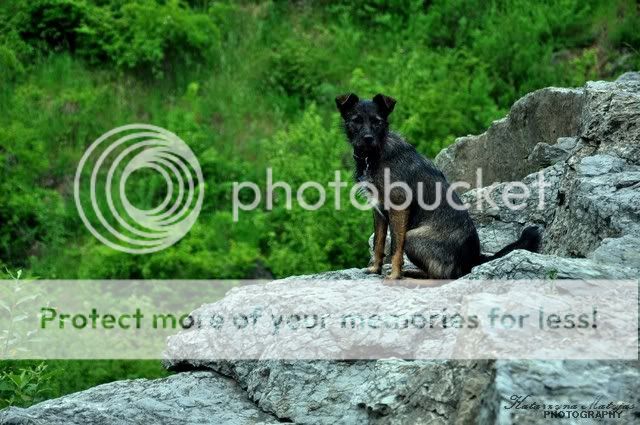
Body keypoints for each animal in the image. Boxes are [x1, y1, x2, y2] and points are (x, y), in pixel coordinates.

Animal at [335, 93, 541, 280]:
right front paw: (375, 269)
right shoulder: (378, 210)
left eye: (377, 122)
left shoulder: (399, 207)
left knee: (442, 273)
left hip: (413, 237)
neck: (373, 155)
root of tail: (473, 259)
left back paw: (412, 272)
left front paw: (394, 275)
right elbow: (378, 243)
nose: (368, 138)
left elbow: (395, 246)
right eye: (356, 121)